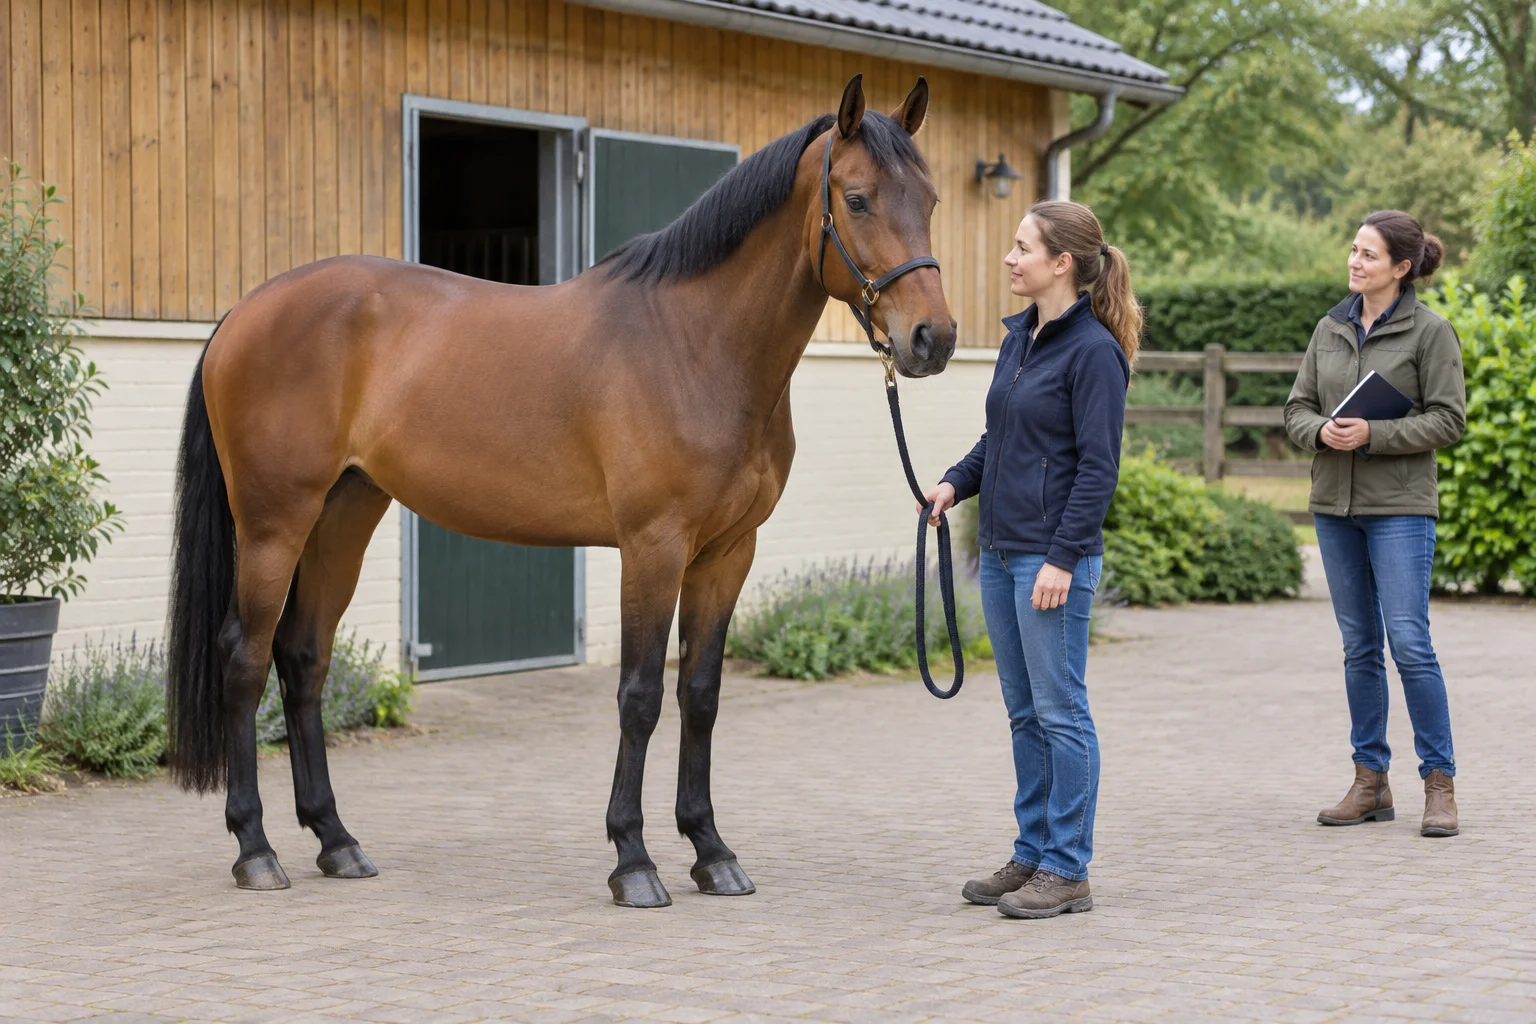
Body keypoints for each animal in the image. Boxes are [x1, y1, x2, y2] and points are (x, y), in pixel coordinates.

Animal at [165, 74, 957, 908]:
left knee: (303, 658)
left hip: (343, 515)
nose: (932, 339)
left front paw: (711, 851)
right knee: (245, 659)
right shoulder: (652, 547)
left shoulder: (726, 552)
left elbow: (700, 693)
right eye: (858, 199)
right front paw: (633, 861)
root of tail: (244, 312)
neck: (695, 346)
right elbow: (640, 696)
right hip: (274, 523)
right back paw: (256, 850)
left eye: (931, 198)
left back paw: (336, 840)